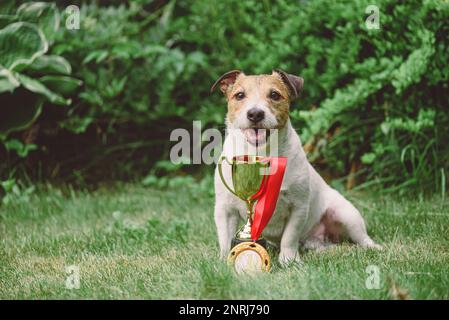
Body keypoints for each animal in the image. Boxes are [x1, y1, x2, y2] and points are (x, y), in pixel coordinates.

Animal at [212, 70, 380, 264]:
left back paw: (373, 247)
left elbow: (289, 237)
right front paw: (224, 260)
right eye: (239, 95)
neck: (259, 153)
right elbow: (225, 238)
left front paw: (289, 260)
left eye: (274, 95)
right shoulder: (225, 209)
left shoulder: (298, 208)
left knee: (361, 237)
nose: (255, 113)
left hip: (346, 215)